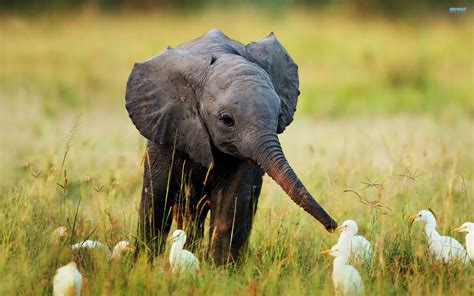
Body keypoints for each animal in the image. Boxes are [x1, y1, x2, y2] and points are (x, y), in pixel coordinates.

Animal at [124, 28, 336, 264]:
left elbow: (231, 201)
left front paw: (220, 269)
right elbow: (157, 197)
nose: (333, 226)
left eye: (279, 114)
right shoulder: (167, 128)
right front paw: (143, 264)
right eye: (227, 120)